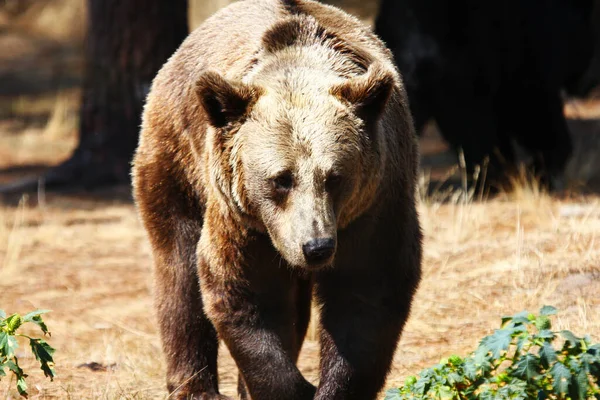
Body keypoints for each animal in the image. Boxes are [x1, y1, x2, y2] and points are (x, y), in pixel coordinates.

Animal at [132, 0, 422, 398]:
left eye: (335, 177)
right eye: (281, 180)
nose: (316, 247)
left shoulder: (374, 203)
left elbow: (366, 295)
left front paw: (329, 386)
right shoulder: (241, 217)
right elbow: (245, 290)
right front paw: (291, 386)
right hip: (176, 159)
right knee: (178, 268)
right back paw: (195, 385)